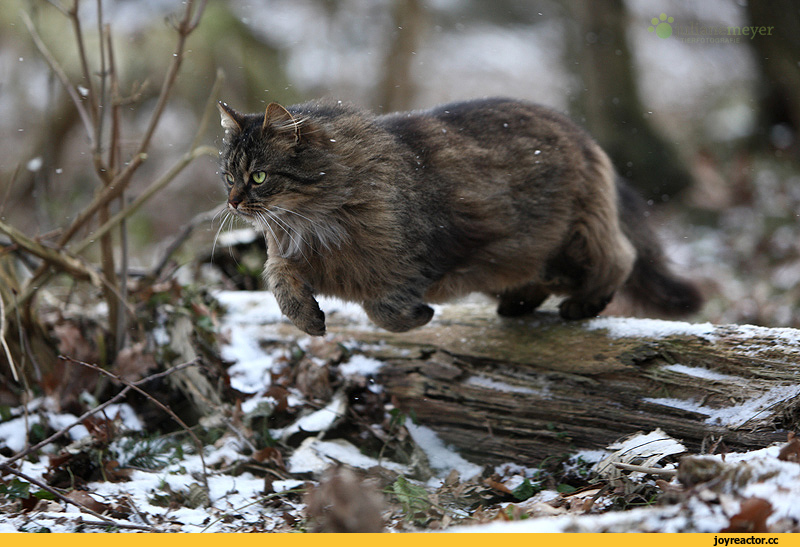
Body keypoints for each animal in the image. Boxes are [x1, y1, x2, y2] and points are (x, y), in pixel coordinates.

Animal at [214, 99, 700, 338]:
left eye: (258, 177)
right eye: (228, 176)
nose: (233, 203)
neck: (311, 224)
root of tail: (583, 134)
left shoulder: (418, 259)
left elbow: (383, 308)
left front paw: (418, 316)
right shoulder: (288, 256)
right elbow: (280, 282)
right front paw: (307, 318)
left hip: (573, 240)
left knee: (620, 259)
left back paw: (582, 304)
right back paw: (518, 303)